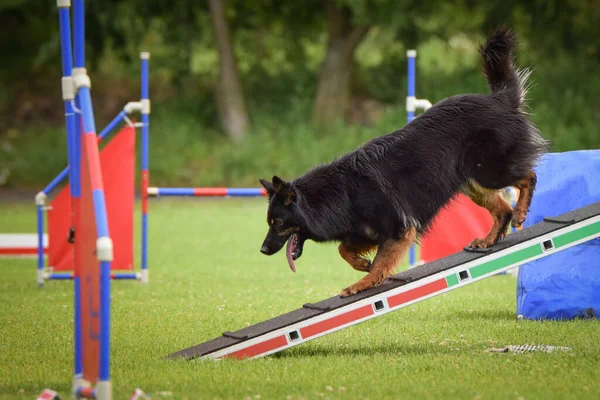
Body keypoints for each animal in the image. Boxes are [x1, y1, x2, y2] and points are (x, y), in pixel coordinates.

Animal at [258, 26, 548, 296]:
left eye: (278, 223)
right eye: (270, 223)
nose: (262, 250)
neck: (339, 194)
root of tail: (499, 99)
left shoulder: (398, 228)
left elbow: (380, 262)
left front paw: (363, 282)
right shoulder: (365, 231)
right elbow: (344, 248)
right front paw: (361, 264)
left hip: (488, 171)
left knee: (529, 177)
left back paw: (520, 212)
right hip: (472, 183)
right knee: (502, 209)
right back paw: (488, 239)